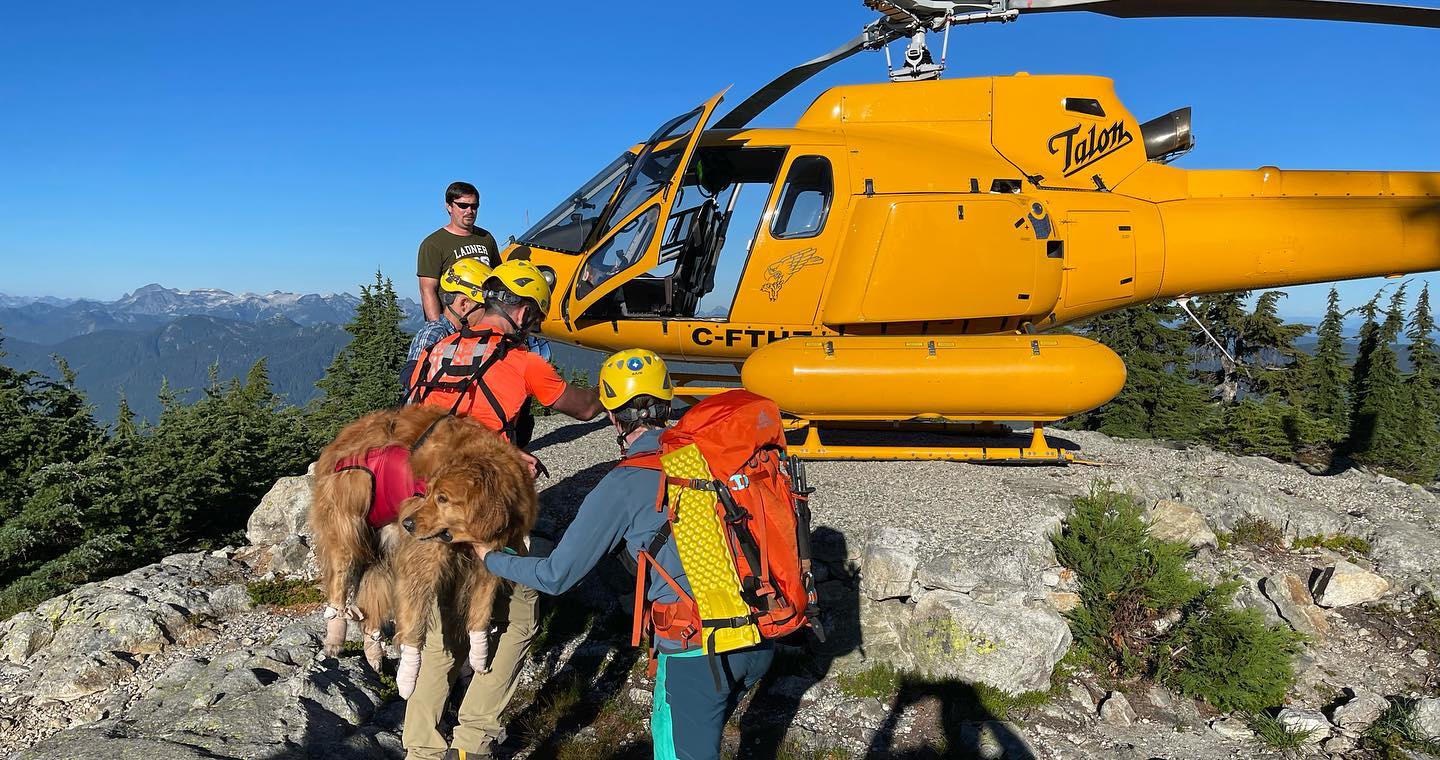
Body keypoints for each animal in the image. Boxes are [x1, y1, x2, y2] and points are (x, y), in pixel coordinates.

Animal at [312, 408, 538, 682]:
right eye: (428, 493)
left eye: (443, 499)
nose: (408, 523)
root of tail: (344, 436)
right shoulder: (423, 552)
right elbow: (415, 597)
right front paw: (410, 668)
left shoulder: (489, 554)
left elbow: (482, 604)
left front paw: (479, 652)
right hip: (348, 513)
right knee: (340, 573)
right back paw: (336, 632)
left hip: (384, 546)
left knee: (372, 590)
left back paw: (373, 647)